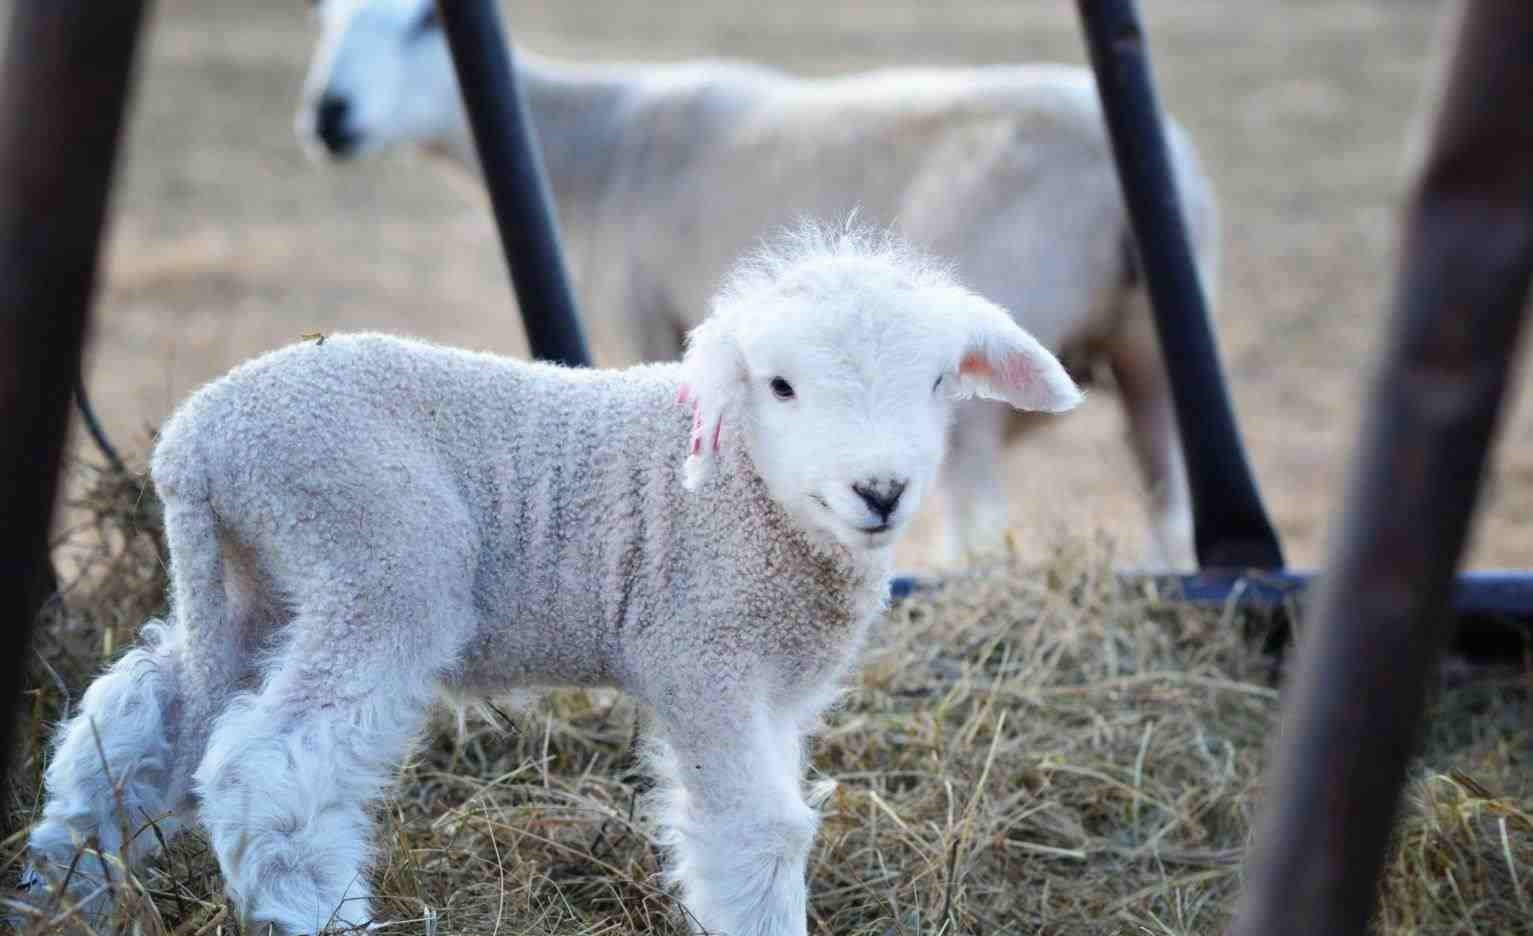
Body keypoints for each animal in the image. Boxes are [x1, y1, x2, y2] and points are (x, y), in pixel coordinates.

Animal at [18, 228, 1085, 936]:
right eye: (781, 386)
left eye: (940, 382)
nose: (880, 491)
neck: (751, 499)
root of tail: (195, 446)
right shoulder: (701, 654)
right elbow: (758, 832)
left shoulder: (772, 689)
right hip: (378, 563)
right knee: (263, 766)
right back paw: (318, 915)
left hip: (258, 584)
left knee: (134, 720)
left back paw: (64, 887)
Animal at [292, 0, 1214, 569]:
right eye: (326, 19)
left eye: (425, 22)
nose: (329, 117)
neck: (596, 146)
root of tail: (1119, 178)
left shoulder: (647, 313)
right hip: (1151, 351)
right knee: (1170, 506)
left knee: (980, 525)